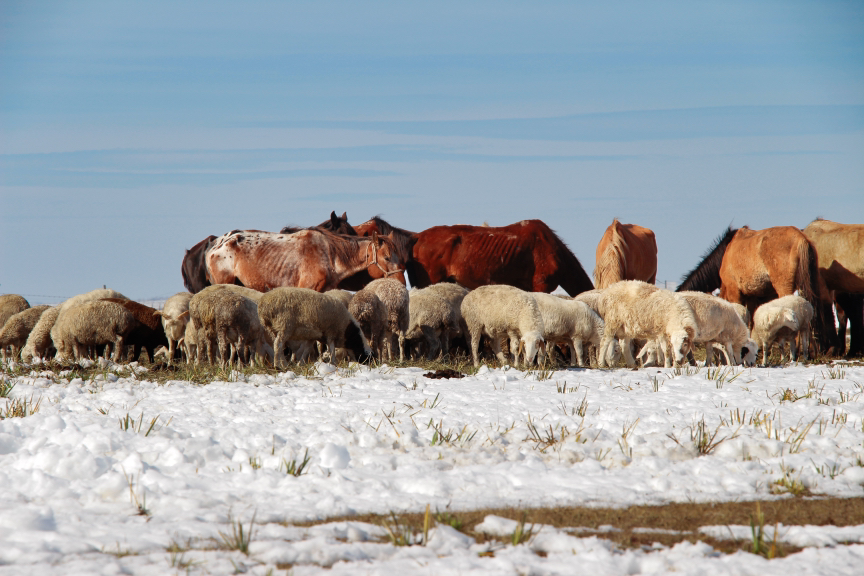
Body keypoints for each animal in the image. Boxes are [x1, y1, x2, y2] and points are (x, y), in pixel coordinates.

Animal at [678, 225, 834, 353]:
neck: (726, 251)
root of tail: (801, 239)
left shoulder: (735, 292)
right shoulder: (754, 296)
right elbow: (753, 320)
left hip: (785, 287)